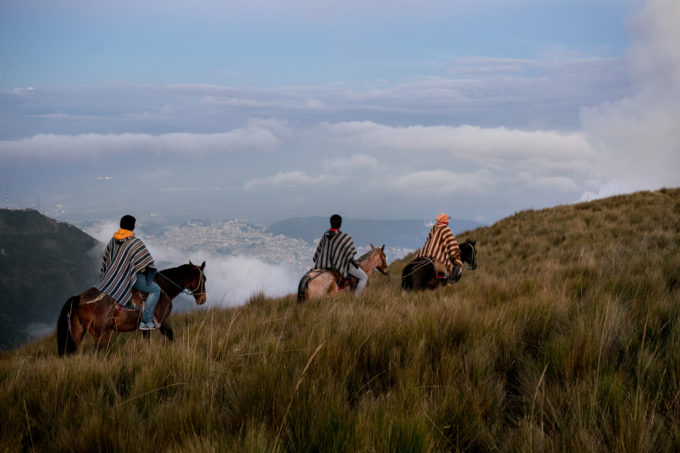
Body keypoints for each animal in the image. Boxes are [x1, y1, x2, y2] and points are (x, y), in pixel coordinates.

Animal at [57, 260, 206, 354]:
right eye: (203, 279)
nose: (203, 299)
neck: (163, 287)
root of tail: (78, 298)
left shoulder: (146, 326)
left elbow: (148, 341)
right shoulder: (162, 321)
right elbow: (170, 335)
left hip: (78, 332)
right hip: (102, 334)